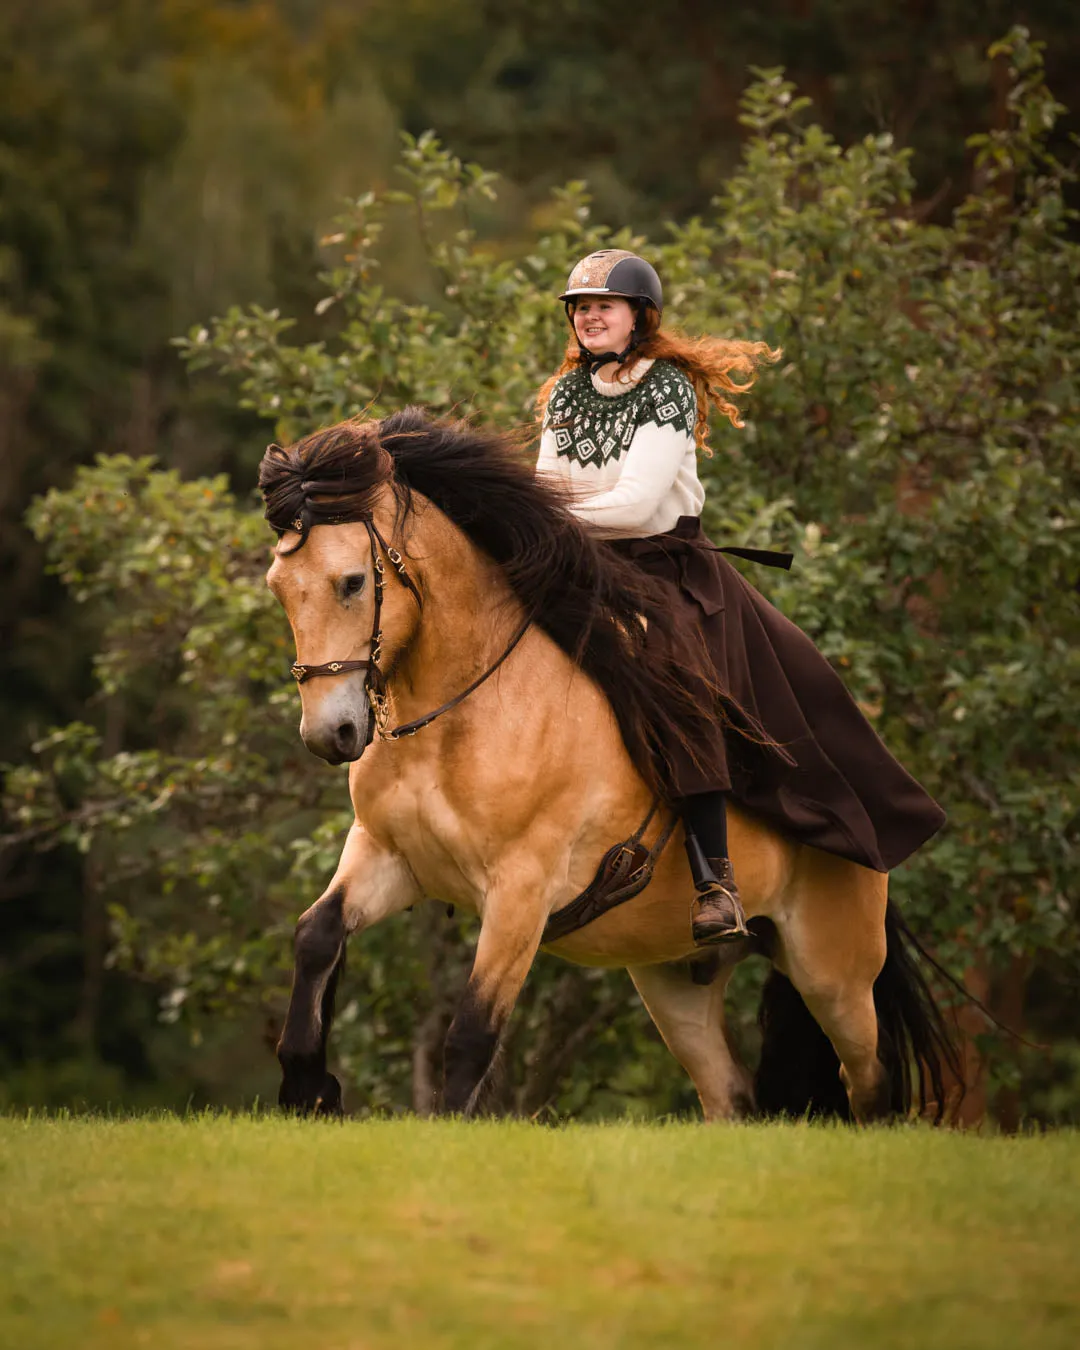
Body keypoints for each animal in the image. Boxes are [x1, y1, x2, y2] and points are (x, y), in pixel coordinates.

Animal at [259, 405, 955, 1123]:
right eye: (279, 588)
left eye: (352, 582)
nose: (331, 735)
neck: (459, 715)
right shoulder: (388, 856)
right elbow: (316, 935)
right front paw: (308, 1086)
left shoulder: (521, 891)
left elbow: (472, 1032)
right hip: (674, 980)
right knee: (729, 1094)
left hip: (834, 974)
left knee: (869, 1083)